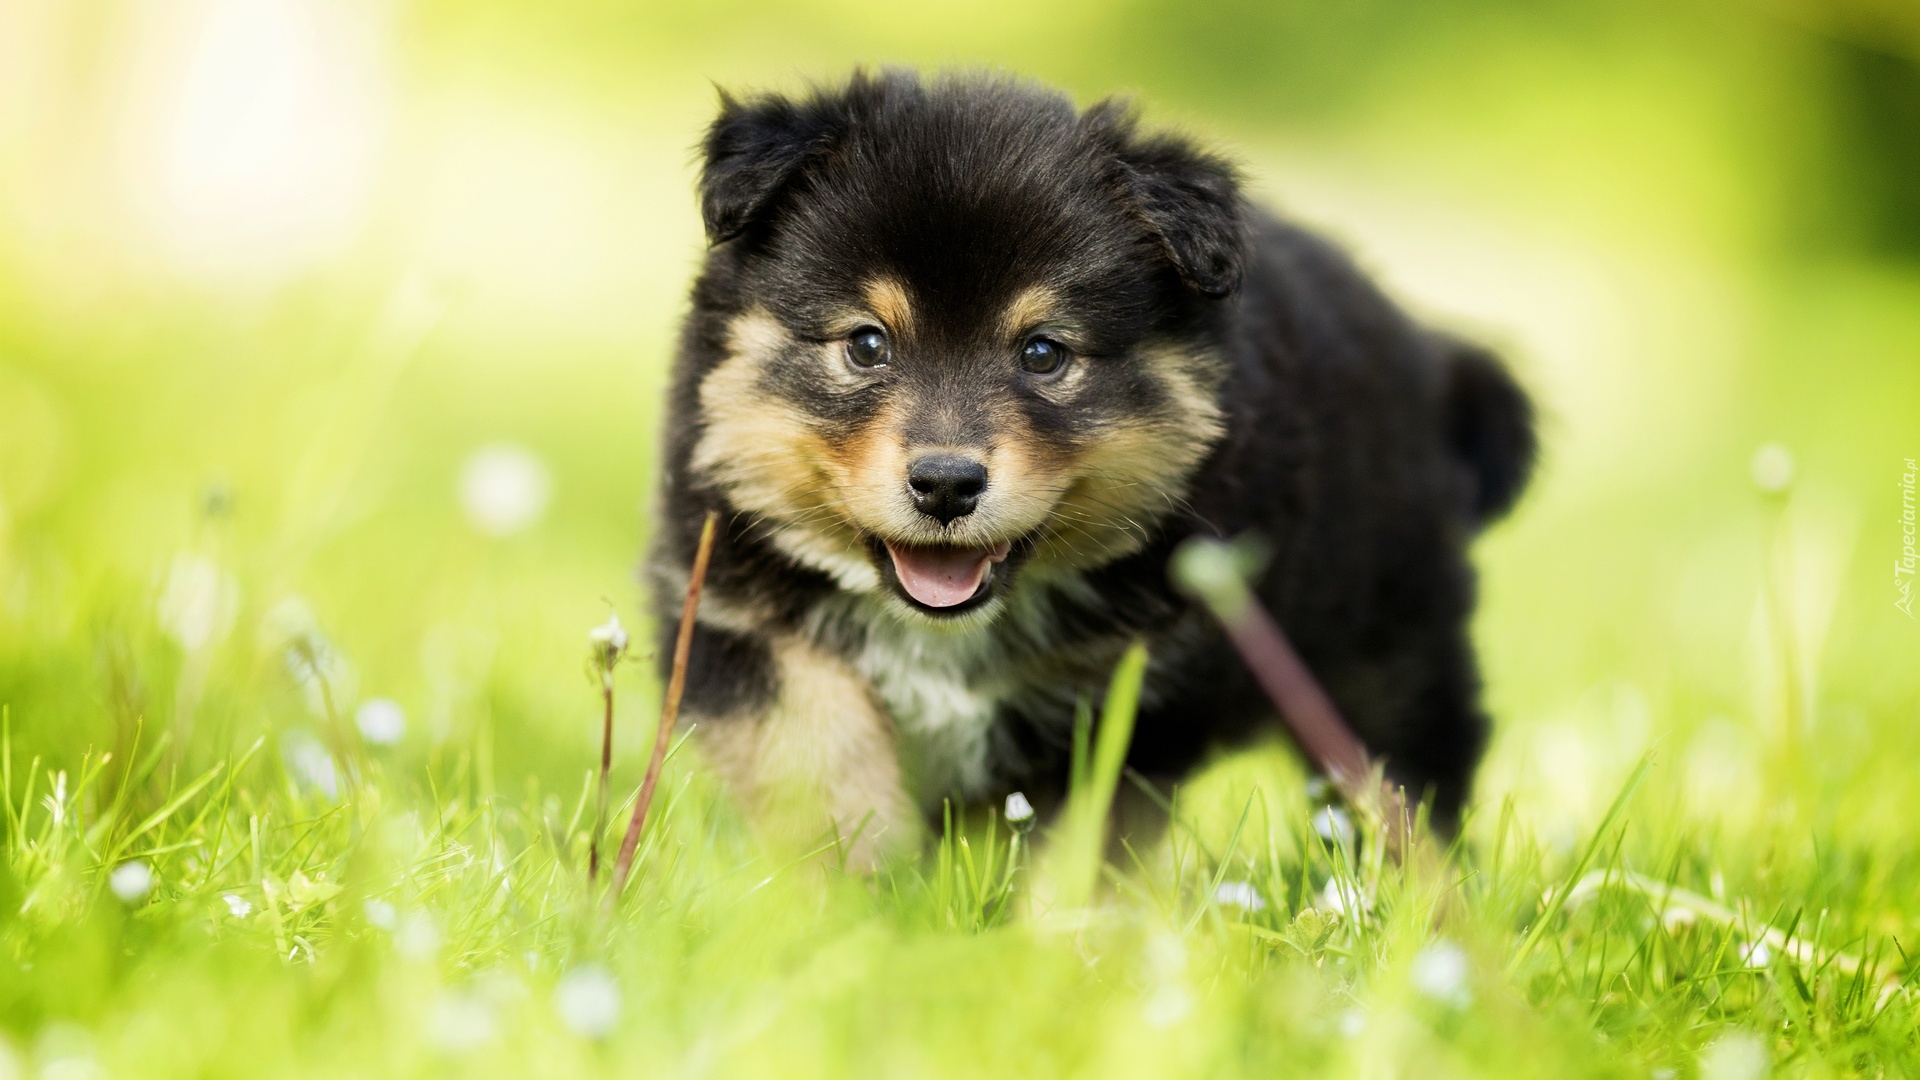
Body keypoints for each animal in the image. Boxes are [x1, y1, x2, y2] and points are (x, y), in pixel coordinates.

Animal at [652, 69, 1536, 857]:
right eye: (867, 344)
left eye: (1044, 353)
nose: (946, 484)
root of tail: (1430, 358)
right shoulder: (729, 609)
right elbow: (815, 755)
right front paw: (855, 894)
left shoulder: (1138, 690)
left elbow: (1080, 846)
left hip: (1387, 654)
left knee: (1408, 777)